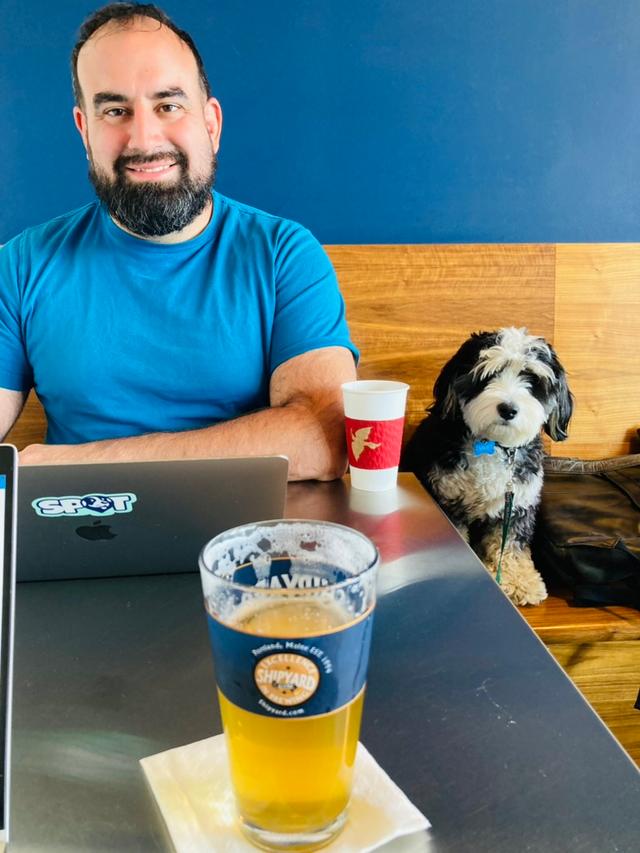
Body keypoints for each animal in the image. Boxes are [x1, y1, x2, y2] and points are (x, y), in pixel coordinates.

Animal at [402, 326, 572, 604]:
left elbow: (512, 544)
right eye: (488, 375)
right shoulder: (448, 499)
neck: (493, 444)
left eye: (532, 379)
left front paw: (519, 580)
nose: (508, 409)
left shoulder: (517, 503)